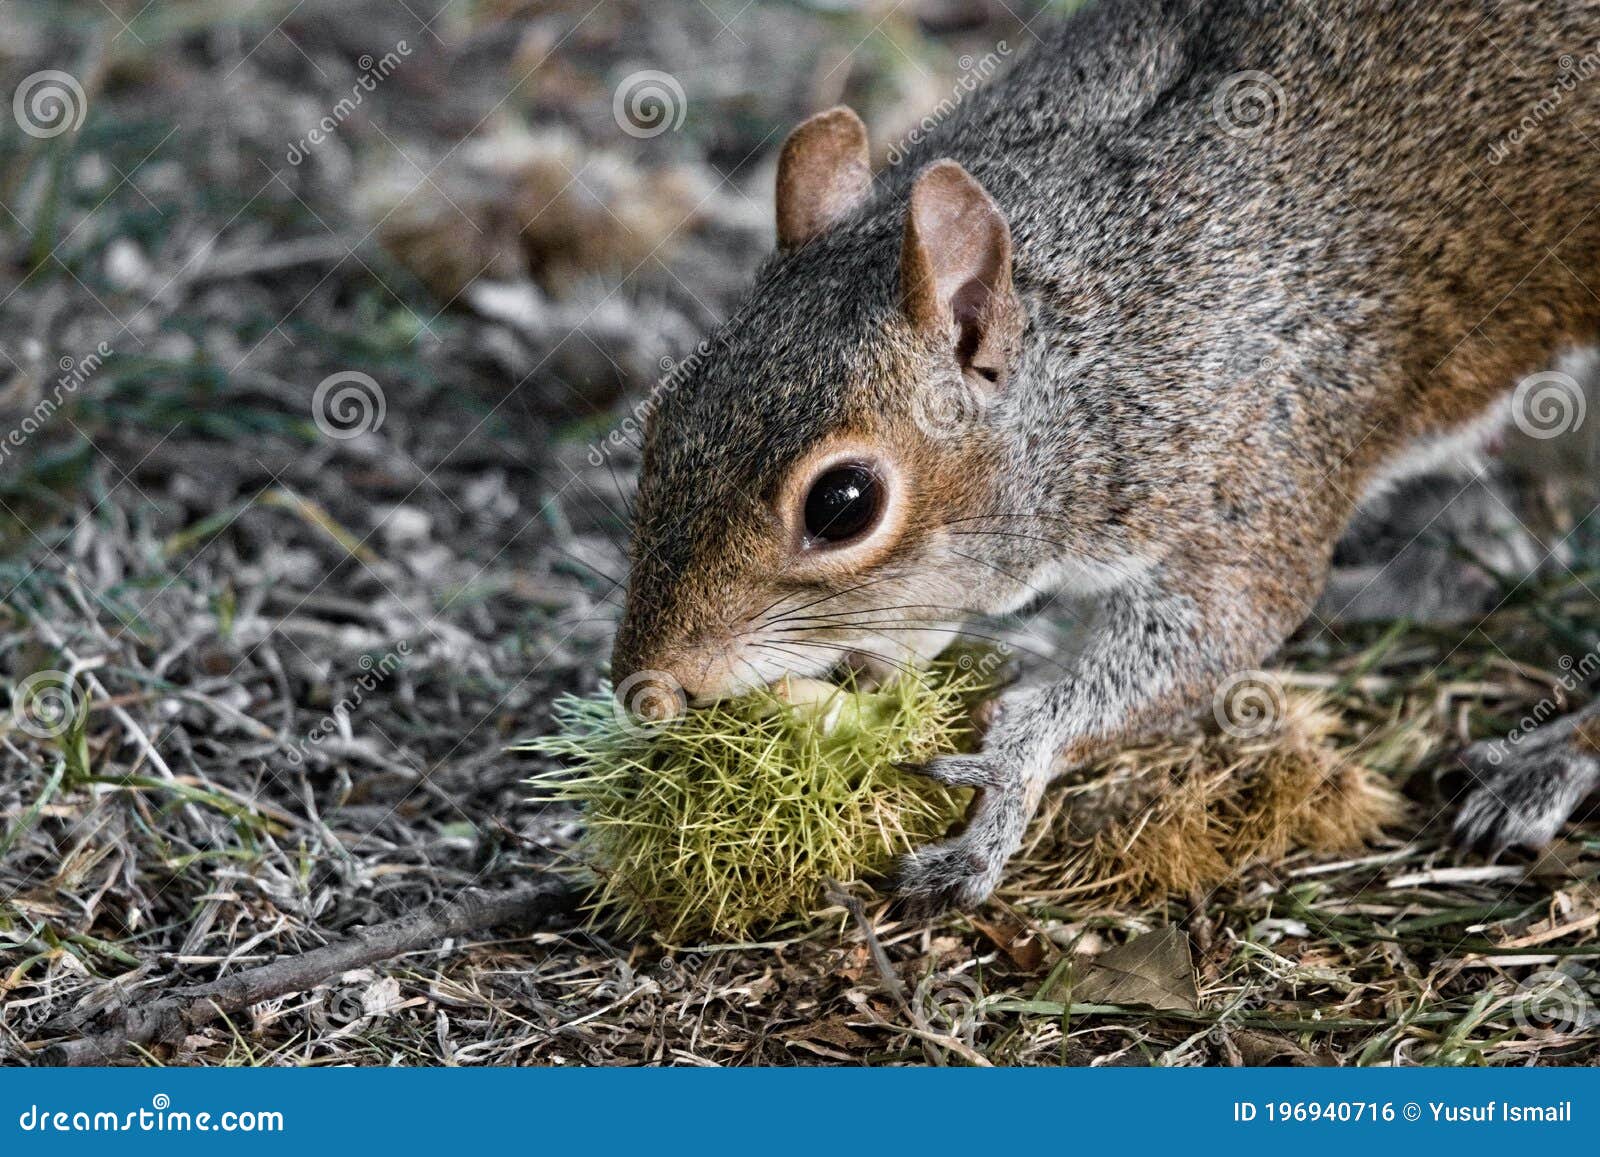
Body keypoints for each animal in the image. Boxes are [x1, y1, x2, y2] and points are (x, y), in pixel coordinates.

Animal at [610, 0, 1600, 911]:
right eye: (658, 420)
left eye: (843, 503)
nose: (646, 689)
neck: (1098, 343)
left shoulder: (1254, 455)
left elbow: (1218, 628)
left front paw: (1010, 769)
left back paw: (1552, 759)